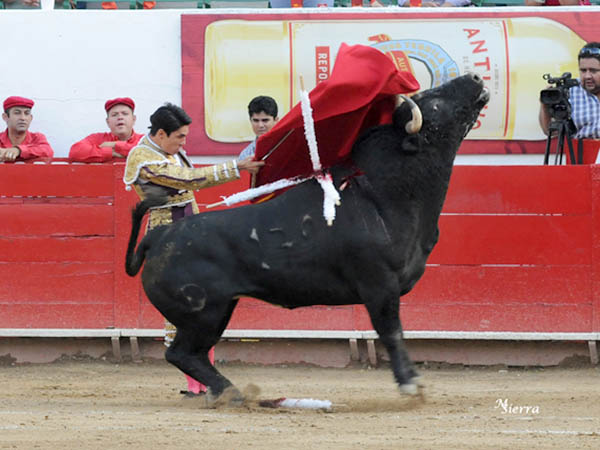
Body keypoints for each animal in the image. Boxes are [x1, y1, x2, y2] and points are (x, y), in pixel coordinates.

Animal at [125, 73, 488, 400]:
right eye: (434, 103)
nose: (475, 77)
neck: (386, 191)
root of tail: (159, 237)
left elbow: (396, 332)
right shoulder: (379, 285)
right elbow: (392, 332)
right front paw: (410, 384)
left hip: (219, 309)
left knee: (192, 354)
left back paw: (230, 393)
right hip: (202, 313)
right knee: (181, 353)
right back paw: (234, 393)